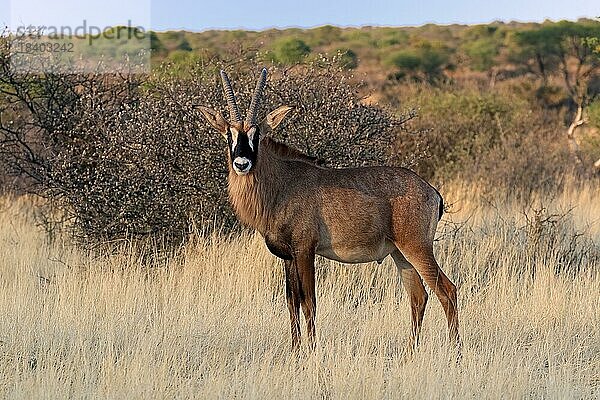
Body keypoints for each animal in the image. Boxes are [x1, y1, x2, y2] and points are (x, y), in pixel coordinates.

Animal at [198, 68, 460, 354]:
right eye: (229, 135)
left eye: (257, 135)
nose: (242, 163)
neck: (282, 183)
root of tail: (431, 191)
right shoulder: (287, 257)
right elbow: (291, 302)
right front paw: (295, 350)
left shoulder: (305, 251)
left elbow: (308, 301)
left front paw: (311, 350)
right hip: (400, 254)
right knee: (419, 296)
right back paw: (410, 351)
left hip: (417, 248)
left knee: (447, 290)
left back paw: (455, 351)